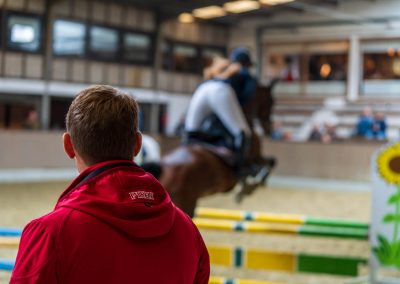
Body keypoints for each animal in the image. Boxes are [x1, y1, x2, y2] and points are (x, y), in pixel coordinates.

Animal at [142, 81, 276, 216]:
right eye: (270, 101)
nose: (268, 127)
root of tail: (162, 167)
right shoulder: (255, 158)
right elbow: (269, 163)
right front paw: (252, 185)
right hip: (186, 204)